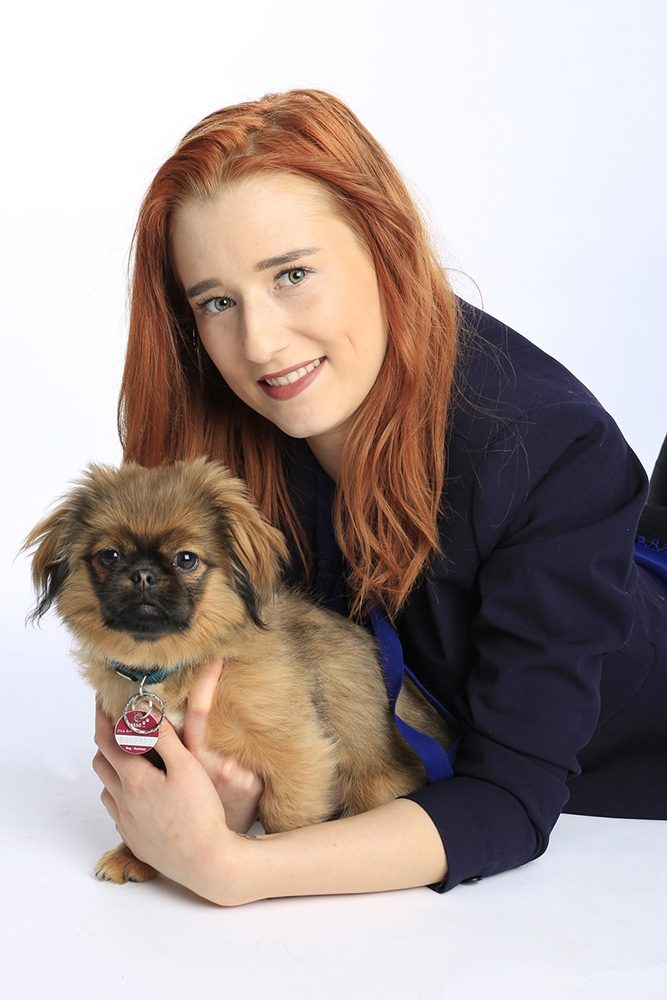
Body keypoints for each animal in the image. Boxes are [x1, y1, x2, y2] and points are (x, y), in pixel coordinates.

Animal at [26, 458, 453, 884]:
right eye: (110, 556)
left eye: (186, 559)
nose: (143, 574)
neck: (171, 667)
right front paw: (135, 856)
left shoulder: (297, 752)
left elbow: (287, 821)